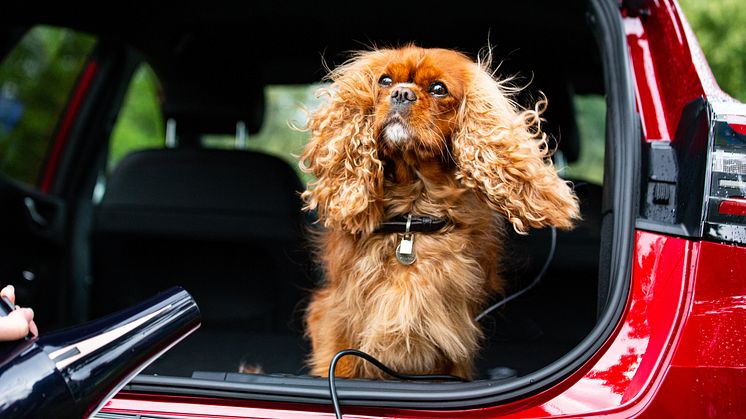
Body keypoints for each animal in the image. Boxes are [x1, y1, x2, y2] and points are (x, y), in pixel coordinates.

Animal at [300, 46, 580, 380]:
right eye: (384, 80)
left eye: (438, 89)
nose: (401, 93)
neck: (412, 212)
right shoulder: (337, 318)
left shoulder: (450, 337)